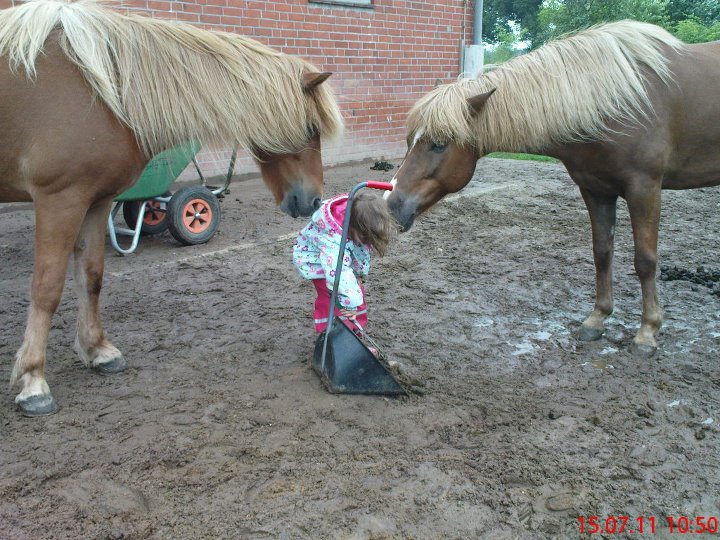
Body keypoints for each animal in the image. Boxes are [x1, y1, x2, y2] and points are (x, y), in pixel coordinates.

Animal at [0, 0, 344, 418]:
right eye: (311, 128)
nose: (313, 201)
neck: (100, 88)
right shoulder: (59, 200)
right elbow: (46, 288)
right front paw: (32, 380)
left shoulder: (94, 202)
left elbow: (92, 277)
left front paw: (98, 350)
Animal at [388, 22, 720, 358]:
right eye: (409, 141)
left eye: (439, 144)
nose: (392, 204)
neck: (614, 102)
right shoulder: (596, 189)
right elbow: (602, 252)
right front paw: (597, 319)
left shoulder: (645, 187)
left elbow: (645, 261)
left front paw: (647, 332)